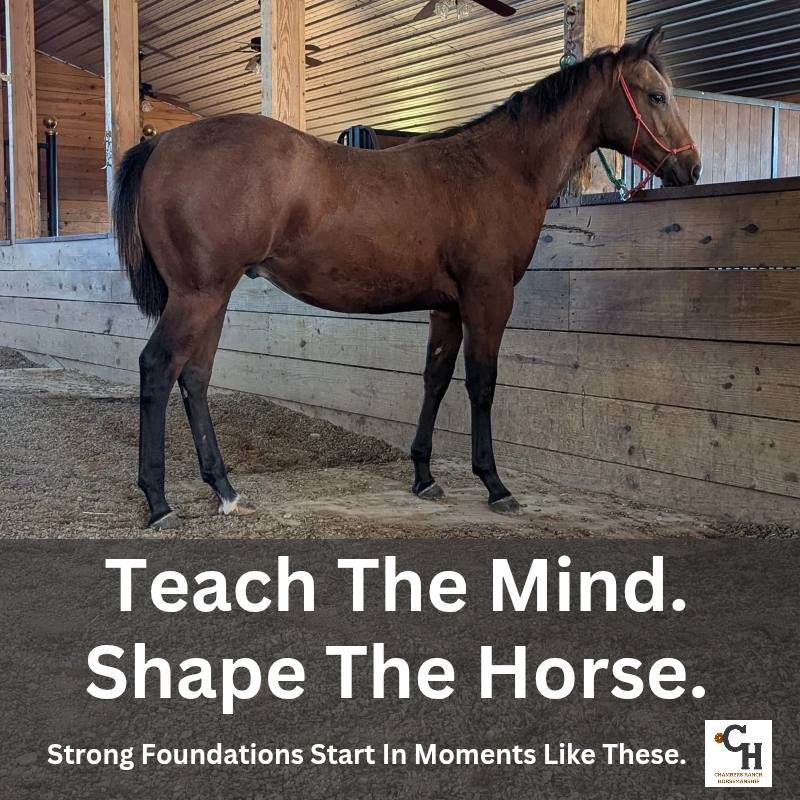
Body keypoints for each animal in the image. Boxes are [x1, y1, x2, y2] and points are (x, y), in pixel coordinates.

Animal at [113, 25, 701, 530]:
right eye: (656, 96)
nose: (691, 168)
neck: (496, 168)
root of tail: (160, 144)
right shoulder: (488, 297)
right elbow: (482, 385)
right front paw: (495, 484)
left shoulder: (448, 306)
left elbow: (435, 380)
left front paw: (424, 476)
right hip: (198, 295)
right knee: (158, 369)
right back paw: (159, 502)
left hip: (213, 297)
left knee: (194, 378)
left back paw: (226, 491)